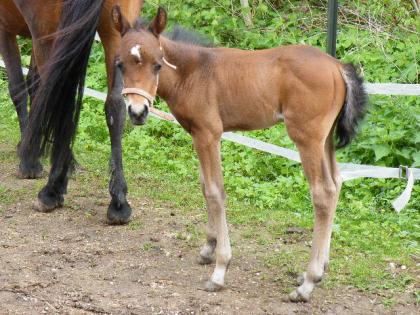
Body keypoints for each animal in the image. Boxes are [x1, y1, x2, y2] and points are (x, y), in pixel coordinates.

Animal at [0, 0, 143, 225]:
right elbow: (35, 87)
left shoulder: (5, 28)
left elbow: (18, 88)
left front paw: (29, 158)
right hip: (118, 27)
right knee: (115, 103)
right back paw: (118, 201)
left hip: (48, 30)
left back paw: (52, 190)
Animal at [111, 7, 368, 302]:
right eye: (120, 64)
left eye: (157, 65)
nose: (137, 112)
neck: (193, 72)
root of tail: (338, 66)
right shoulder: (197, 135)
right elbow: (204, 186)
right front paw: (208, 249)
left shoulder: (209, 134)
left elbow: (215, 191)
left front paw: (220, 270)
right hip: (326, 139)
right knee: (336, 183)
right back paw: (318, 269)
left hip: (308, 137)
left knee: (322, 192)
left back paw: (307, 283)